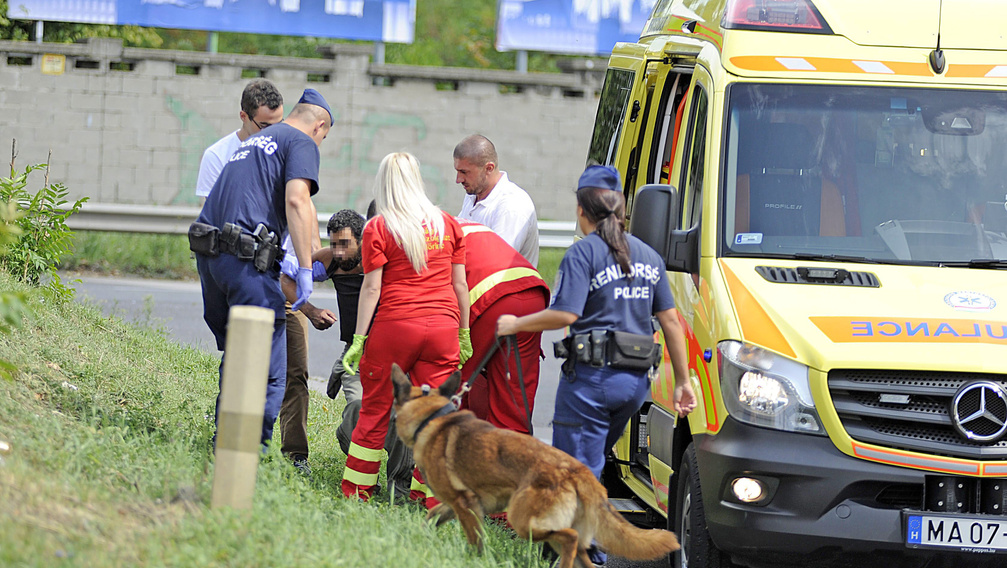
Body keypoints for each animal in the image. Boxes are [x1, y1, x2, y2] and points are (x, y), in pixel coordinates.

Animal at [388, 364, 680, 568]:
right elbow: (430, 517)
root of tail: (578, 470)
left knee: (570, 538)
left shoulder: (465, 504)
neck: (431, 418)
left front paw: (474, 559)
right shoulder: (460, 504)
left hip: (523, 520)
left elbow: (475, 540)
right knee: (581, 554)